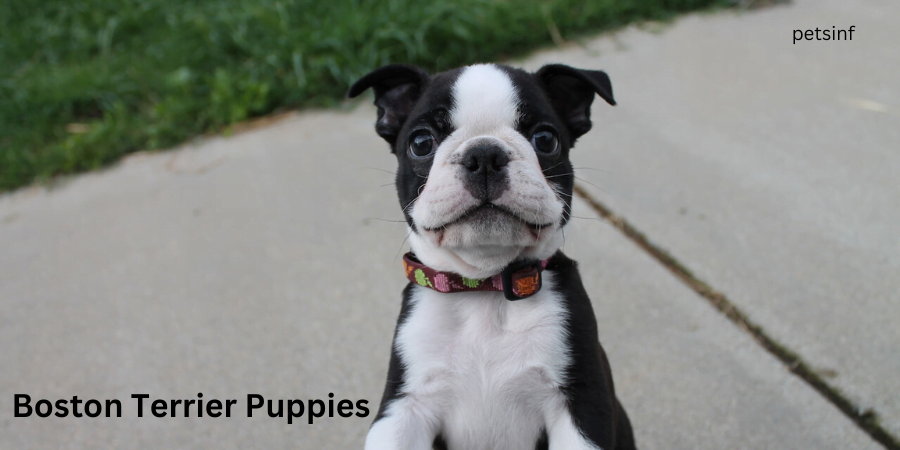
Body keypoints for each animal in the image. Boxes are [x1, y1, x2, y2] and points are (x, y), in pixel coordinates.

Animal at [348, 62, 636, 450]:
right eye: (421, 143)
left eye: (546, 140)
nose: (484, 155)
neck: (485, 289)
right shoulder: (404, 408)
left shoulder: (582, 403)